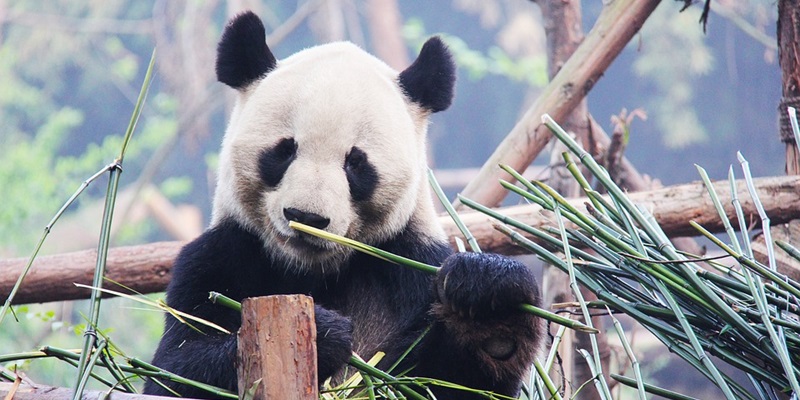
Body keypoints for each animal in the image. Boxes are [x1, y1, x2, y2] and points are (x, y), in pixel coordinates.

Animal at [144, 11, 543, 400]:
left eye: (356, 163)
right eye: (284, 150)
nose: (306, 216)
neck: (312, 270)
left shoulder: (410, 262)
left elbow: (449, 382)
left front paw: (489, 305)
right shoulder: (220, 256)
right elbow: (174, 369)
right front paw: (325, 333)